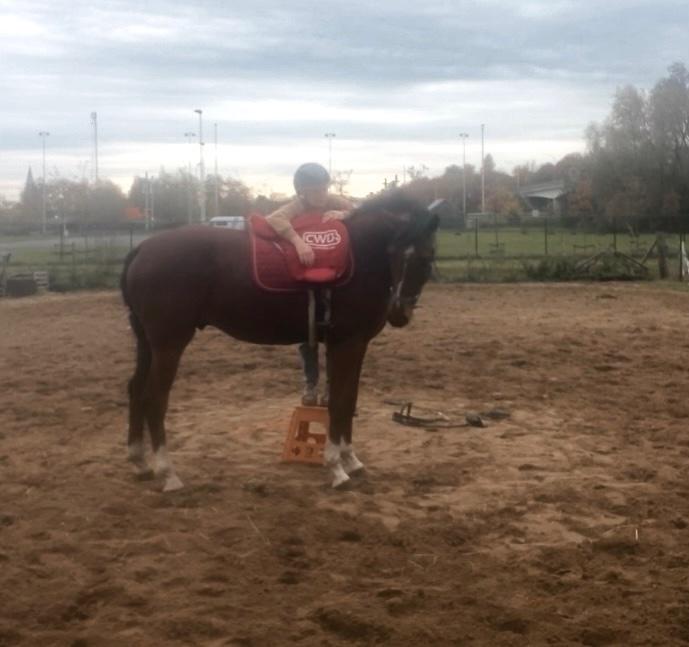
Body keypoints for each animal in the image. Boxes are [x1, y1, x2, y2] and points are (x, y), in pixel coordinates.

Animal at [120, 190, 439, 491]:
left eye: (426, 257)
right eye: (394, 251)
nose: (399, 313)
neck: (357, 258)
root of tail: (143, 248)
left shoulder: (355, 345)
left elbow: (349, 400)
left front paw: (351, 459)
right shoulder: (346, 344)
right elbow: (339, 401)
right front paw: (336, 467)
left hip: (147, 342)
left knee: (136, 389)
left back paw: (139, 462)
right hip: (169, 343)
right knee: (155, 397)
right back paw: (168, 473)